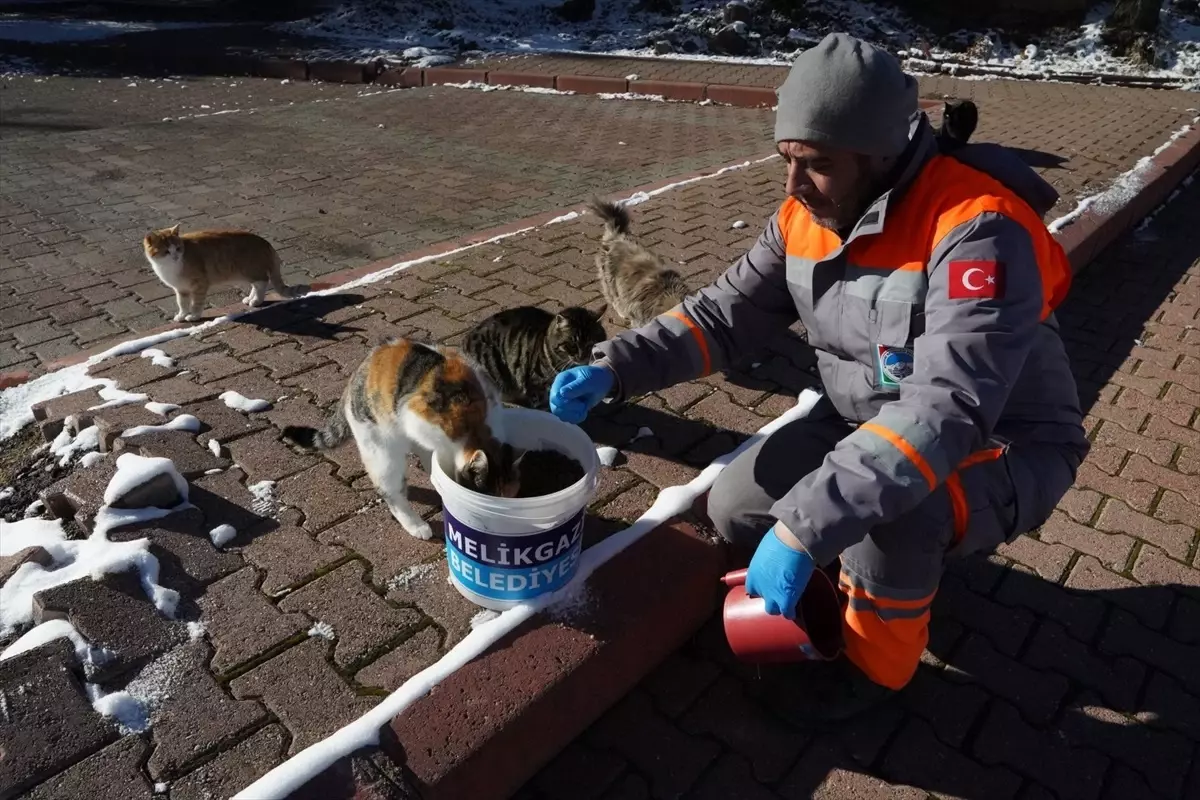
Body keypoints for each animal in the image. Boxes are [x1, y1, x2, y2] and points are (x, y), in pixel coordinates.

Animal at [142, 224, 297, 323]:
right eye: (167, 251)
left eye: (178, 249)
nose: (175, 256)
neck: (169, 266)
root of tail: (264, 241)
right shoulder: (181, 289)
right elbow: (182, 303)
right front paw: (182, 315)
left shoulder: (199, 285)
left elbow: (196, 303)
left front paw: (194, 316)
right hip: (249, 272)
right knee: (257, 284)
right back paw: (250, 298)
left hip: (250, 270)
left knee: (262, 282)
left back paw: (256, 300)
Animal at [285, 335, 525, 542]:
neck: (478, 426)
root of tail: (358, 373)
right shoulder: (415, 416)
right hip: (382, 450)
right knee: (391, 492)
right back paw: (415, 525)